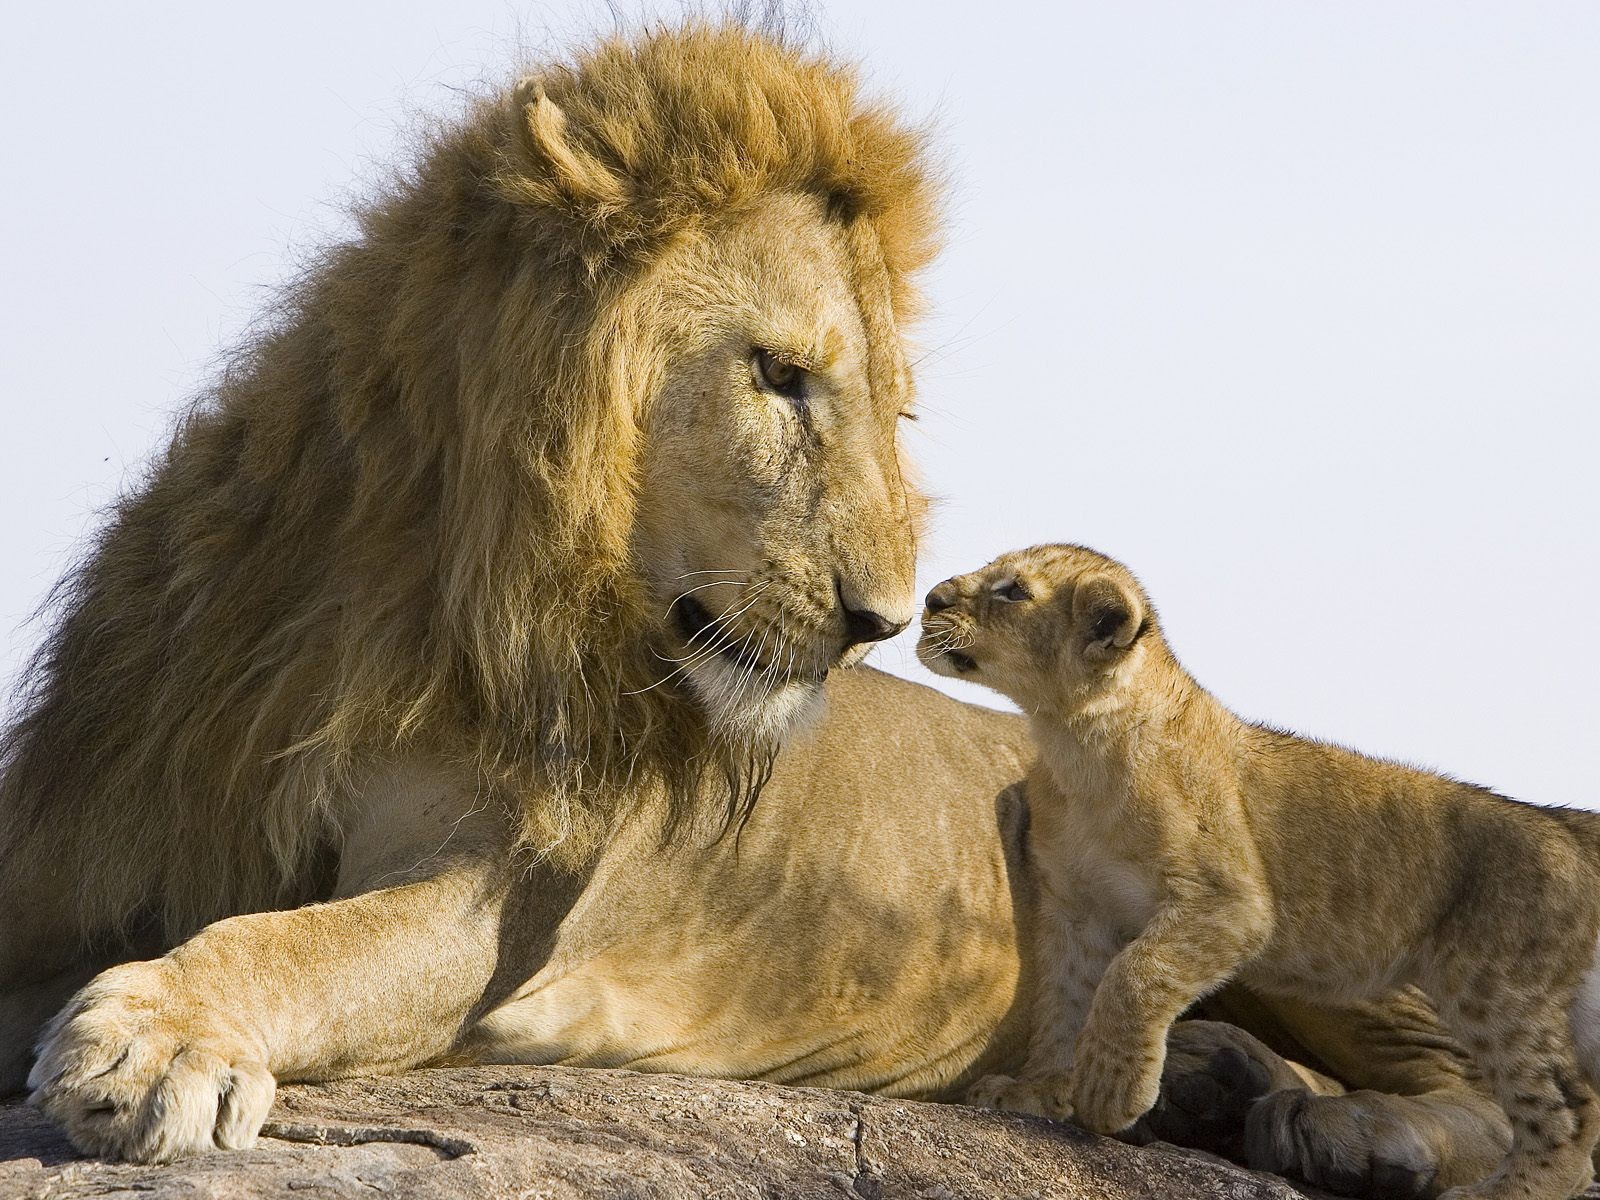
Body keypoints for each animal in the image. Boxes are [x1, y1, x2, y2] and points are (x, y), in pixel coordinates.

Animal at [0, 23, 1497, 1196]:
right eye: (779, 376)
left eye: (895, 413)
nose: (882, 620)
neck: (418, 589)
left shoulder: (497, 900)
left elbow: (309, 942)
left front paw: (159, 1035)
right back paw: (1186, 1082)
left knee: (1472, 1089)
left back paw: (1346, 1130)